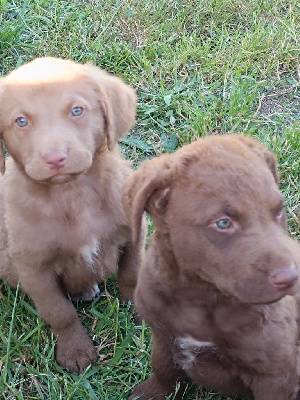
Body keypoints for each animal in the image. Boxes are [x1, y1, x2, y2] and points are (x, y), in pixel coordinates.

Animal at [0, 57, 146, 376]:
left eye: (77, 110)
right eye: (21, 121)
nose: (55, 158)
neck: (73, 194)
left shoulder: (134, 234)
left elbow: (131, 275)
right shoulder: (34, 269)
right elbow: (59, 312)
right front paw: (76, 350)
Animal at [122, 135, 300, 400]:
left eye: (279, 211)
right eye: (223, 223)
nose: (291, 277)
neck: (200, 297)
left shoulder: (277, 372)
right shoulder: (162, 334)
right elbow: (162, 368)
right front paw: (152, 393)